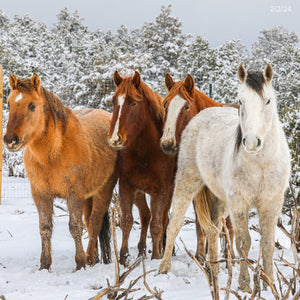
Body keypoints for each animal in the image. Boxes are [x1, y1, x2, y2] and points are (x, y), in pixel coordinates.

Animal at [4, 74, 118, 270]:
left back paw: (89, 259)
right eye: (9, 103)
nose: (10, 140)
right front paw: (44, 265)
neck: (54, 153)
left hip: (103, 192)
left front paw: (80, 264)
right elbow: (45, 228)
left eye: (32, 105)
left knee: (94, 224)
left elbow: (75, 227)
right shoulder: (41, 194)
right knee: (89, 223)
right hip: (89, 197)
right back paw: (93, 259)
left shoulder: (74, 194)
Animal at [108, 71, 176, 264]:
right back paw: (141, 250)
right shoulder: (126, 186)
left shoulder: (161, 191)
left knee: (162, 219)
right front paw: (123, 257)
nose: (115, 139)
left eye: (133, 102)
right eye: (114, 101)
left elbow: (157, 224)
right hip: (139, 192)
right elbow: (127, 221)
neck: (145, 152)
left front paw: (156, 256)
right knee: (145, 216)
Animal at [161, 74, 236, 260]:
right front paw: (201, 256)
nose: (167, 143)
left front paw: (228, 256)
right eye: (165, 104)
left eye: (186, 106)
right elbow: (200, 225)